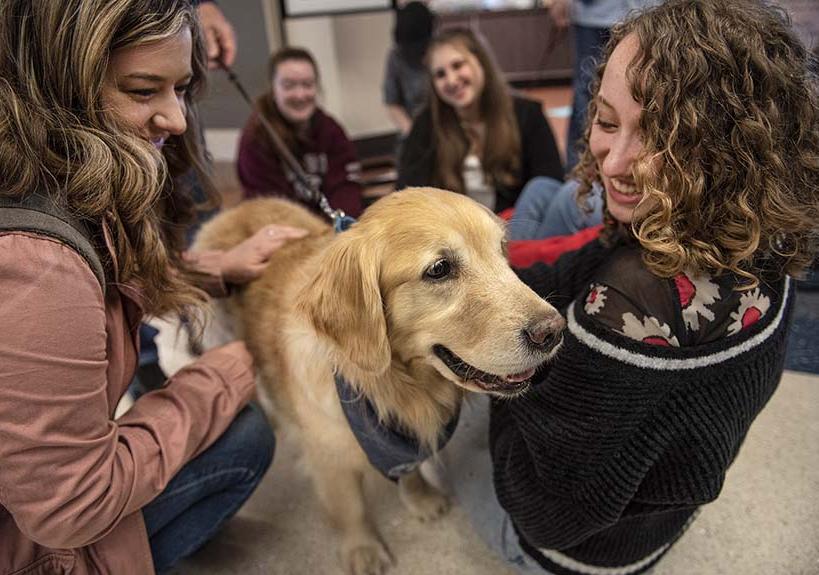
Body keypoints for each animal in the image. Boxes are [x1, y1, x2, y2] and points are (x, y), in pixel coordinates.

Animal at [192, 189, 564, 575]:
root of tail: (237, 208)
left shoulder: (402, 443)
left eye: (502, 250)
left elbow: (410, 470)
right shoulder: (329, 456)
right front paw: (364, 549)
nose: (554, 331)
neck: (393, 385)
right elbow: (351, 507)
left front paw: (421, 499)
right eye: (439, 269)